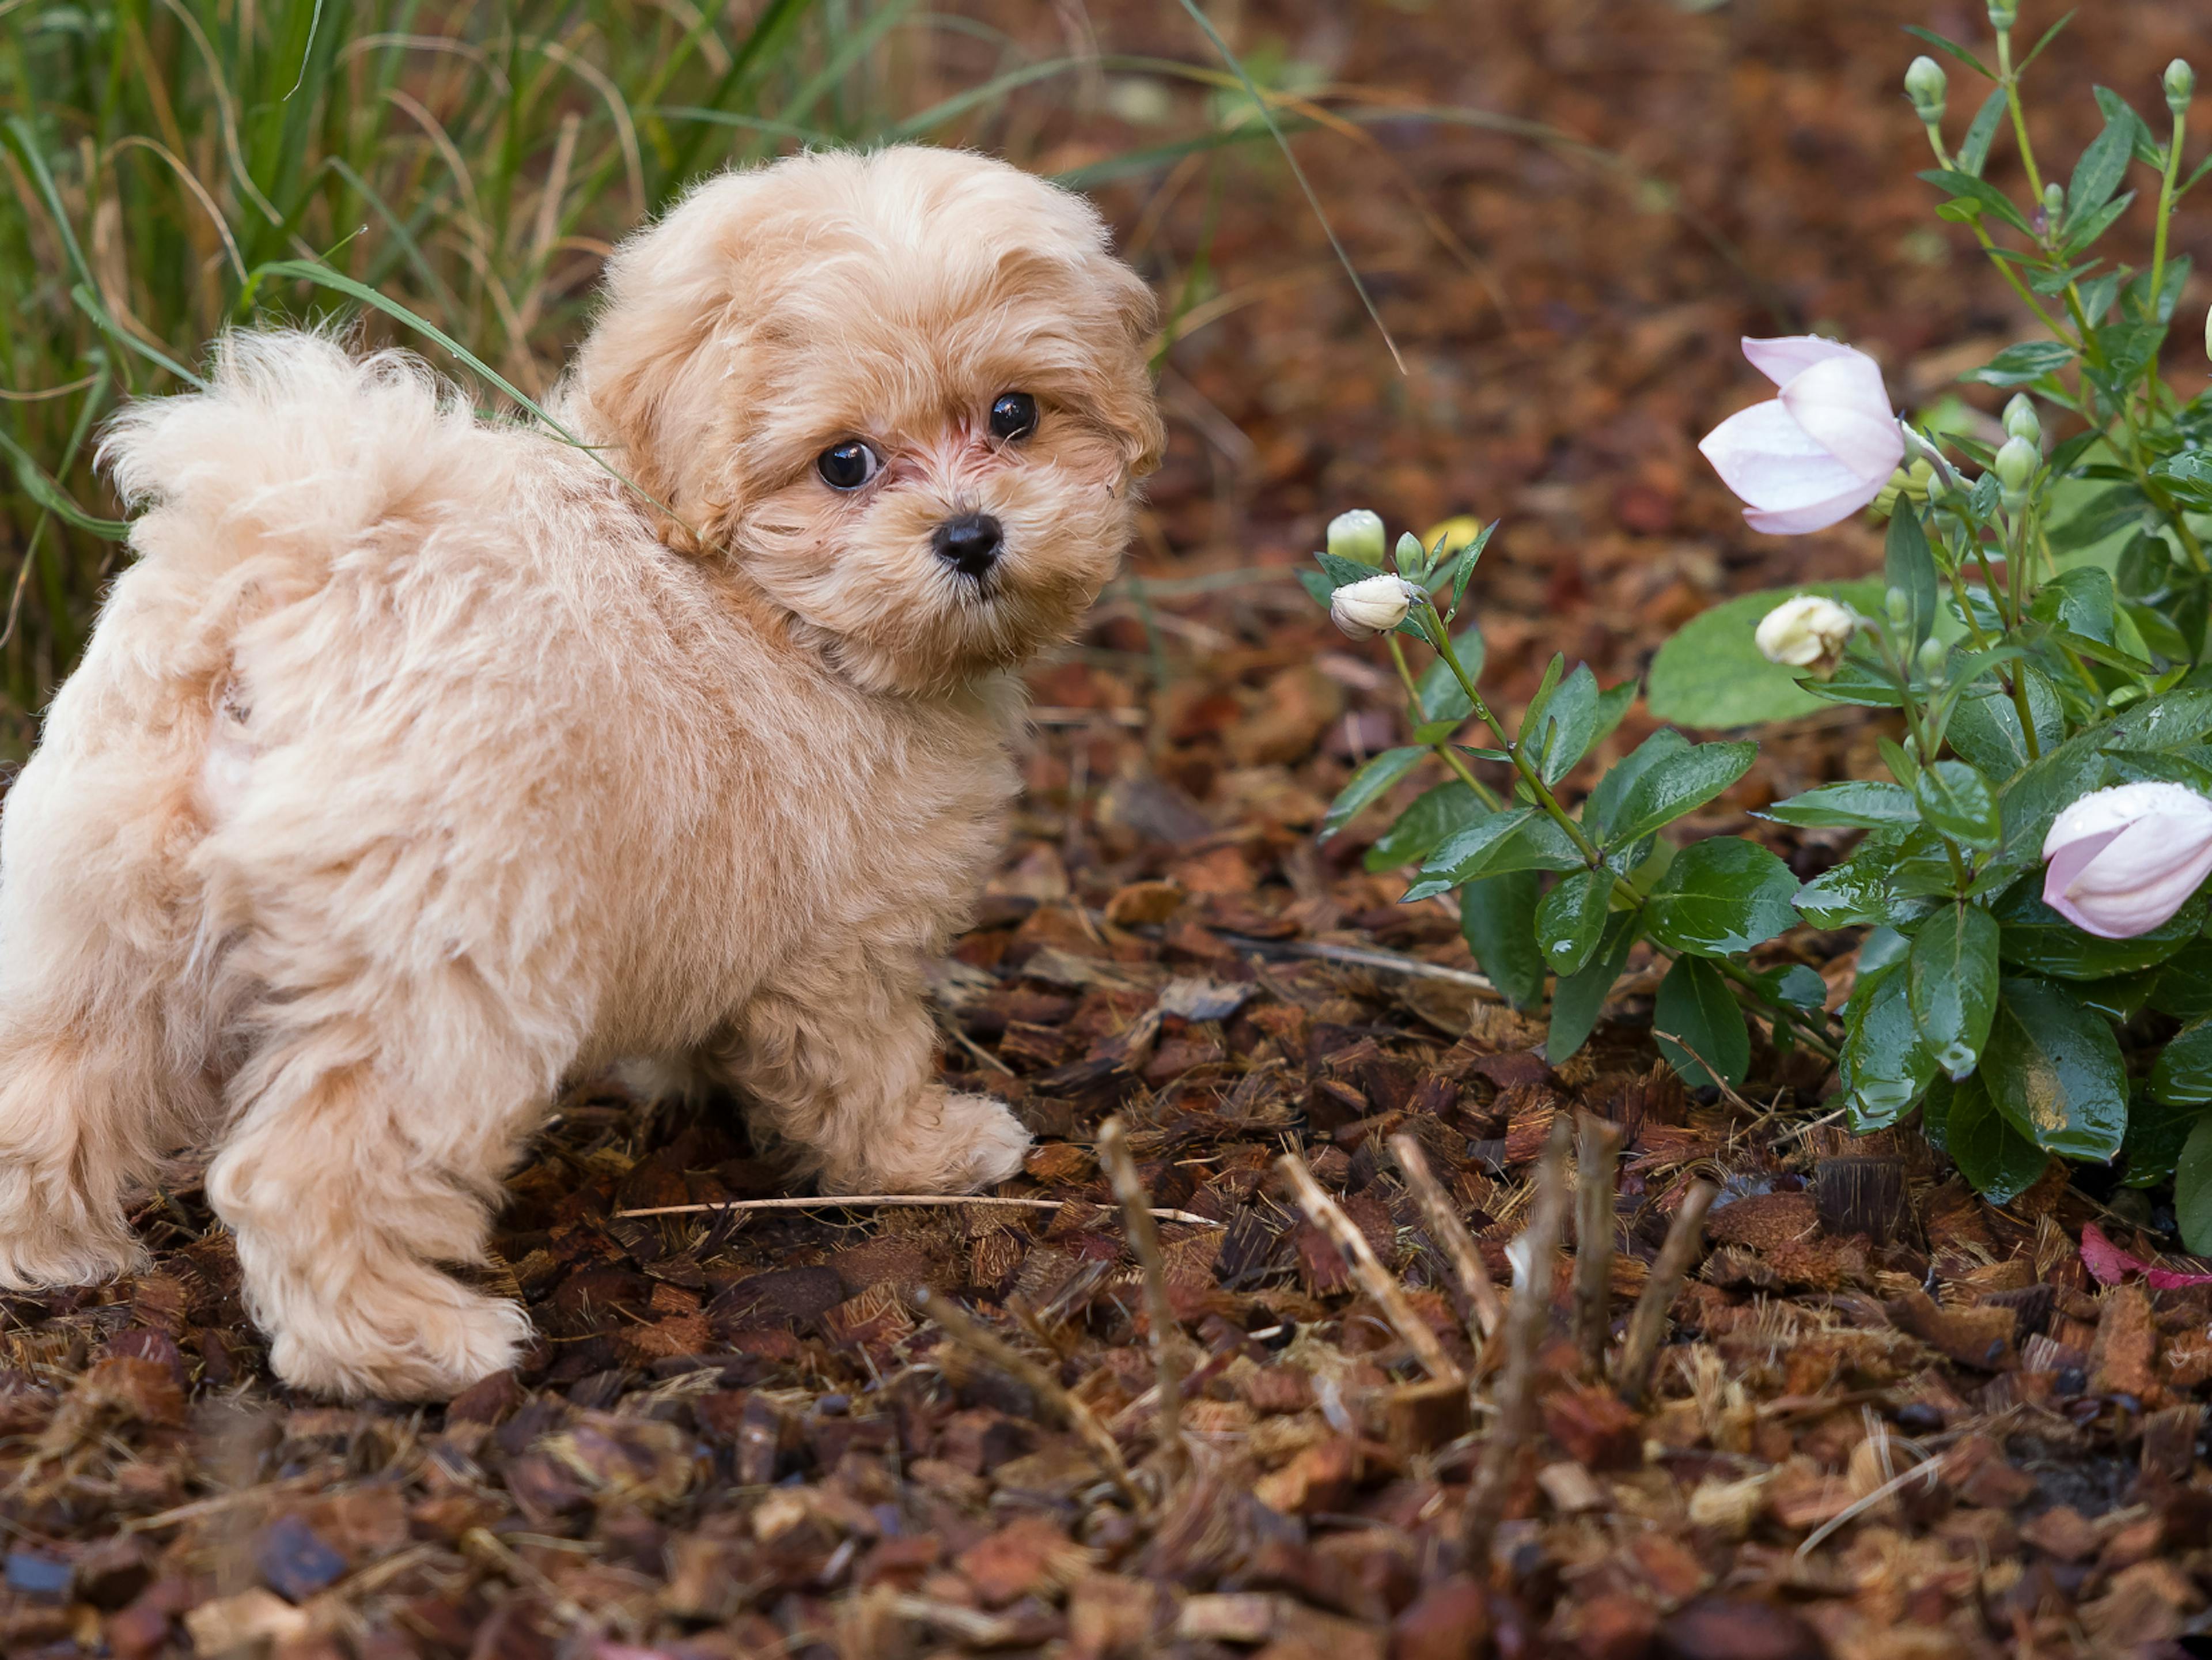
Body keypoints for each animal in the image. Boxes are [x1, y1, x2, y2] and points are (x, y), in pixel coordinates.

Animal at [0, 146, 1168, 1408]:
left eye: (1015, 414)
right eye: (844, 464)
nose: (970, 535)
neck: (760, 599)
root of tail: (295, 574)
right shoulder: (848, 934)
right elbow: (861, 1062)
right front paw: (929, 1153)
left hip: (107, 917)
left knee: (44, 1080)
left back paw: (48, 1256)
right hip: (446, 981)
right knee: (308, 1168)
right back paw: (410, 1345)